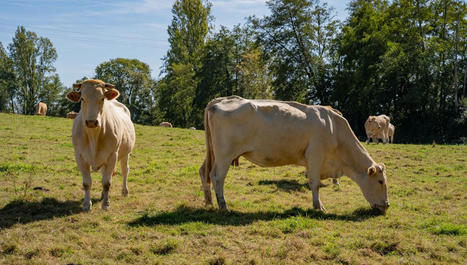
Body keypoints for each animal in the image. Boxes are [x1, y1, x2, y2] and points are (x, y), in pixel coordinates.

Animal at [67, 79, 137, 210]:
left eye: (102, 98)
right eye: (82, 98)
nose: (91, 122)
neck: (94, 137)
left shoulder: (112, 155)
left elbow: (107, 183)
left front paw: (106, 204)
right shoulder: (80, 156)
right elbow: (87, 183)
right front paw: (86, 204)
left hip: (126, 153)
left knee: (125, 170)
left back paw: (124, 191)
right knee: (104, 173)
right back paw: (102, 195)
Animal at [199, 96, 390, 211]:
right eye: (380, 181)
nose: (387, 205)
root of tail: (221, 100)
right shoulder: (315, 156)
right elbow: (314, 183)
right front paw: (318, 206)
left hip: (213, 153)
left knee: (203, 172)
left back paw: (209, 201)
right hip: (224, 155)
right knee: (217, 177)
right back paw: (223, 206)